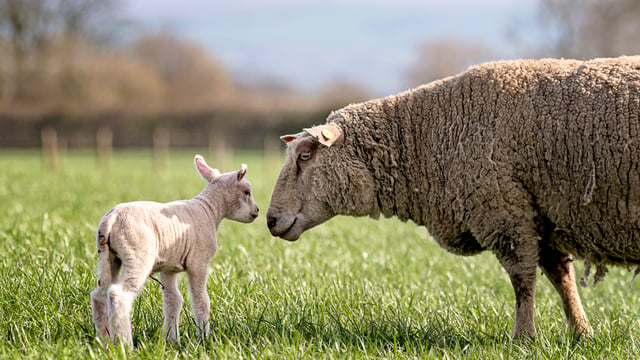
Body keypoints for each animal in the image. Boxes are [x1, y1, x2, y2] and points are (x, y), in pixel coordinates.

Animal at [90, 154, 260, 346]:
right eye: (247, 192)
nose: (257, 211)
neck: (210, 210)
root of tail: (111, 219)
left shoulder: (169, 267)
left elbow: (173, 301)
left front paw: (172, 341)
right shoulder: (198, 262)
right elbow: (201, 301)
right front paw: (203, 338)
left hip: (108, 256)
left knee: (99, 295)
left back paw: (103, 341)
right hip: (138, 255)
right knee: (118, 294)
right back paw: (124, 344)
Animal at [266, 55, 640, 338]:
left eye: (305, 156)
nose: (270, 220)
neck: (428, 136)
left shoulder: (505, 215)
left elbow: (523, 282)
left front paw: (523, 339)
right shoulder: (541, 216)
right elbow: (562, 281)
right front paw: (582, 334)